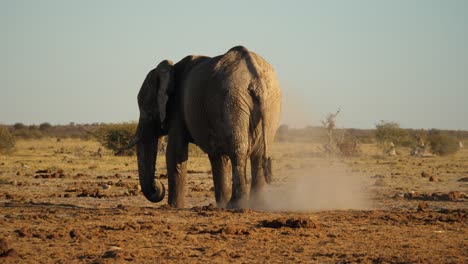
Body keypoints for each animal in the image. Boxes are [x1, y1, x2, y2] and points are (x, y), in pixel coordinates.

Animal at [130, 46, 280, 208]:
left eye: (144, 108)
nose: (158, 186)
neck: (170, 69)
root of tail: (256, 75)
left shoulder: (178, 108)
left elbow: (175, 152)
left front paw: (174, 207)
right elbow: (218, 156)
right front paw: (220, 205)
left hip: (232, 100)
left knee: (238, 150)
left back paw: (236, 206)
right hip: (269, 103)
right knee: (257, 153)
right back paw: (256, 205)